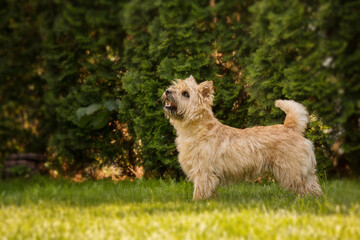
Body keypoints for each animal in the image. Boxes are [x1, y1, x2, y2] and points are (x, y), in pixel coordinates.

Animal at [162, 76, 322, 200]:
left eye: (185, 94)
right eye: (175, 86)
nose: (167, 91)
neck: (197, 129)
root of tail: (291, 127)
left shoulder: (203, 170)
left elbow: (200, 189)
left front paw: (197, 202)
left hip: (291, 169)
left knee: (305, 186)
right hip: (302, 169)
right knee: (314, 184)